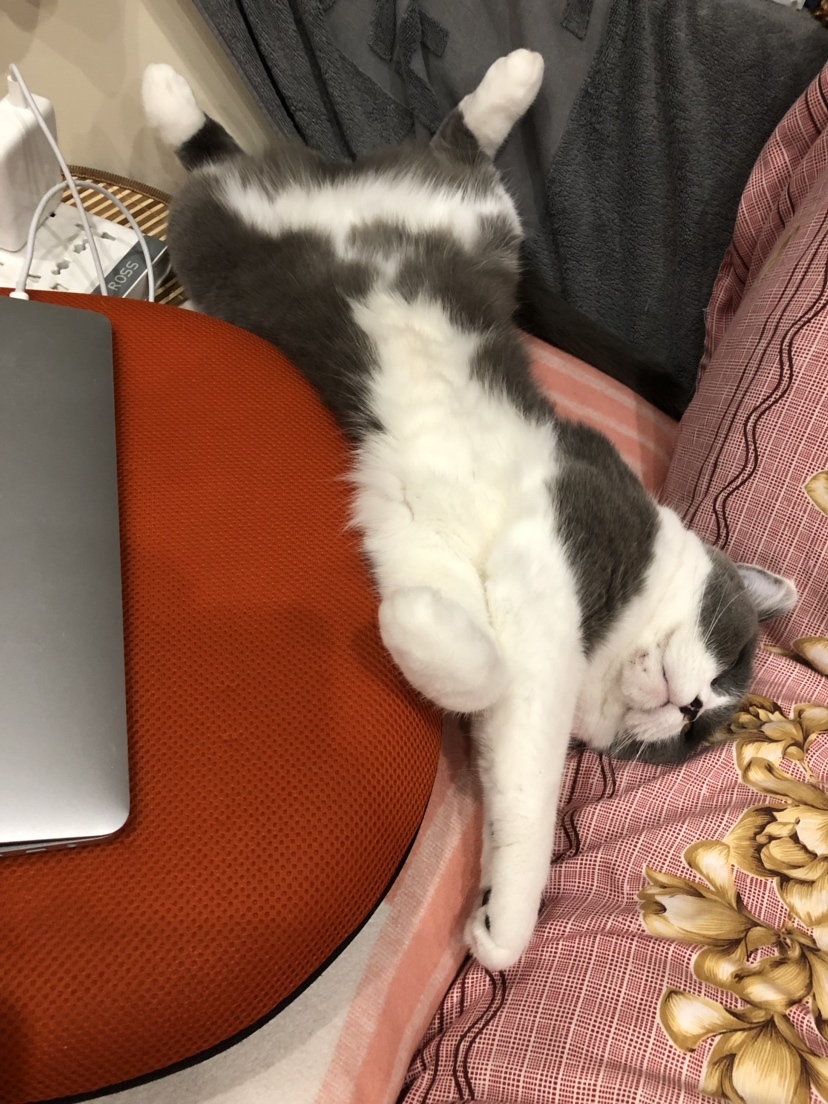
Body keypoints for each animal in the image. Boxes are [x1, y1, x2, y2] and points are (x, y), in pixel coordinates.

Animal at [142, 52, 797, 971]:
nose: (696, 707)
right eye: (733, 656)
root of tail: (341, 187)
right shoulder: (560, 547)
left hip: (289, 240)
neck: (613, 636)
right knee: (440, 145)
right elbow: (525, 718)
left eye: (690, 744)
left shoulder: (440, 560)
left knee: (241, 166)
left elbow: (499, 727)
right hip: (441, 219)